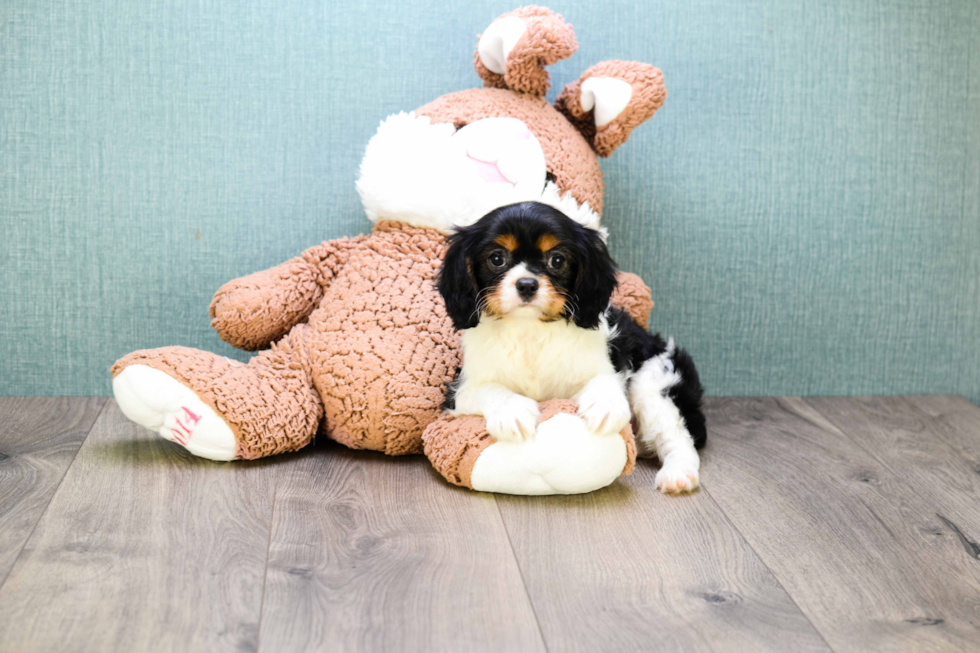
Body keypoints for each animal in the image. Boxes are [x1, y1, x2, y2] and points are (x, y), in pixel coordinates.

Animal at [436, 201, 704, 492]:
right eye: (497, 259)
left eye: (557, 260)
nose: (527, 284)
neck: (529, 329)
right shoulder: (459, 391)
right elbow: (490, 389)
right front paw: (512, 411)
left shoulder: (608, 364)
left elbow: (604, 379)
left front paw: (605, 404)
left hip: (655, 380)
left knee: (677, 437)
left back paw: (678, 474)